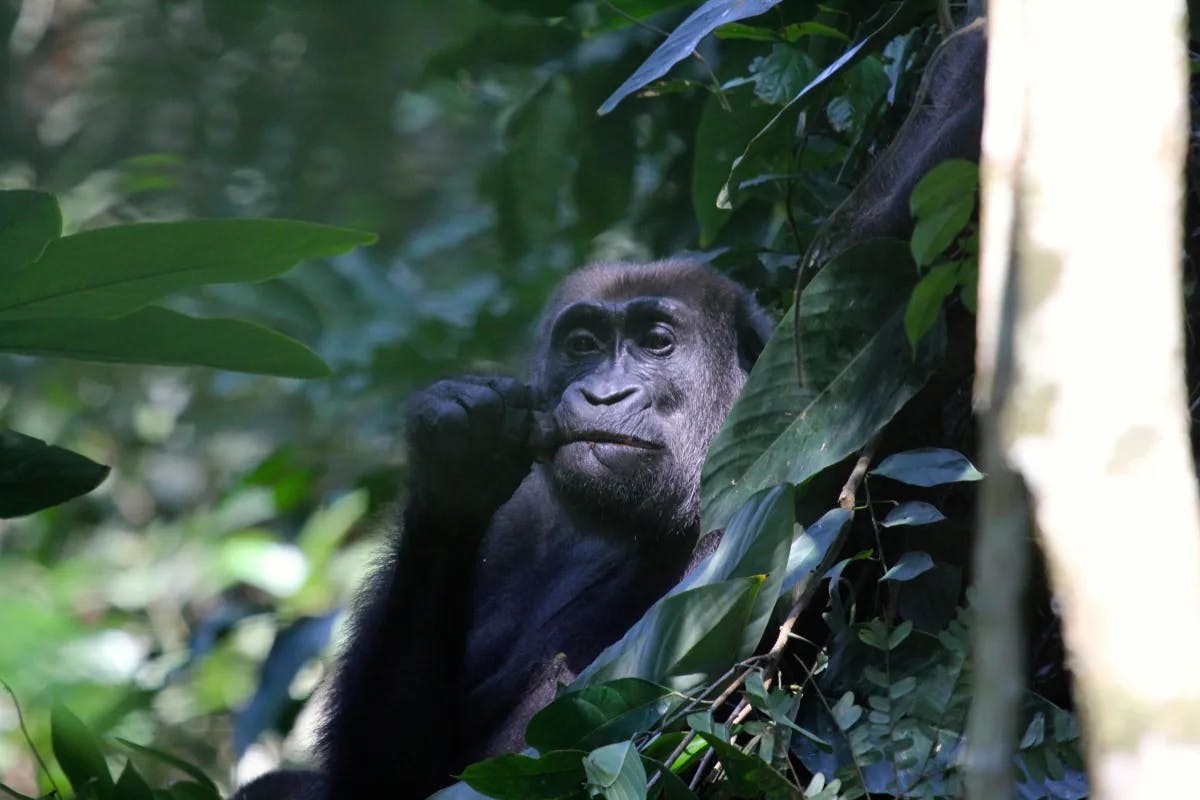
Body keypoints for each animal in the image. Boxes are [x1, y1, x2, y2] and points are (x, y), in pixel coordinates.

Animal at [236, 260, 768, 796]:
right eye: (583, 345)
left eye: (657, 341)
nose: (603, 395)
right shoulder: (522, 520)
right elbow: (385, 774)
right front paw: (459, 459)